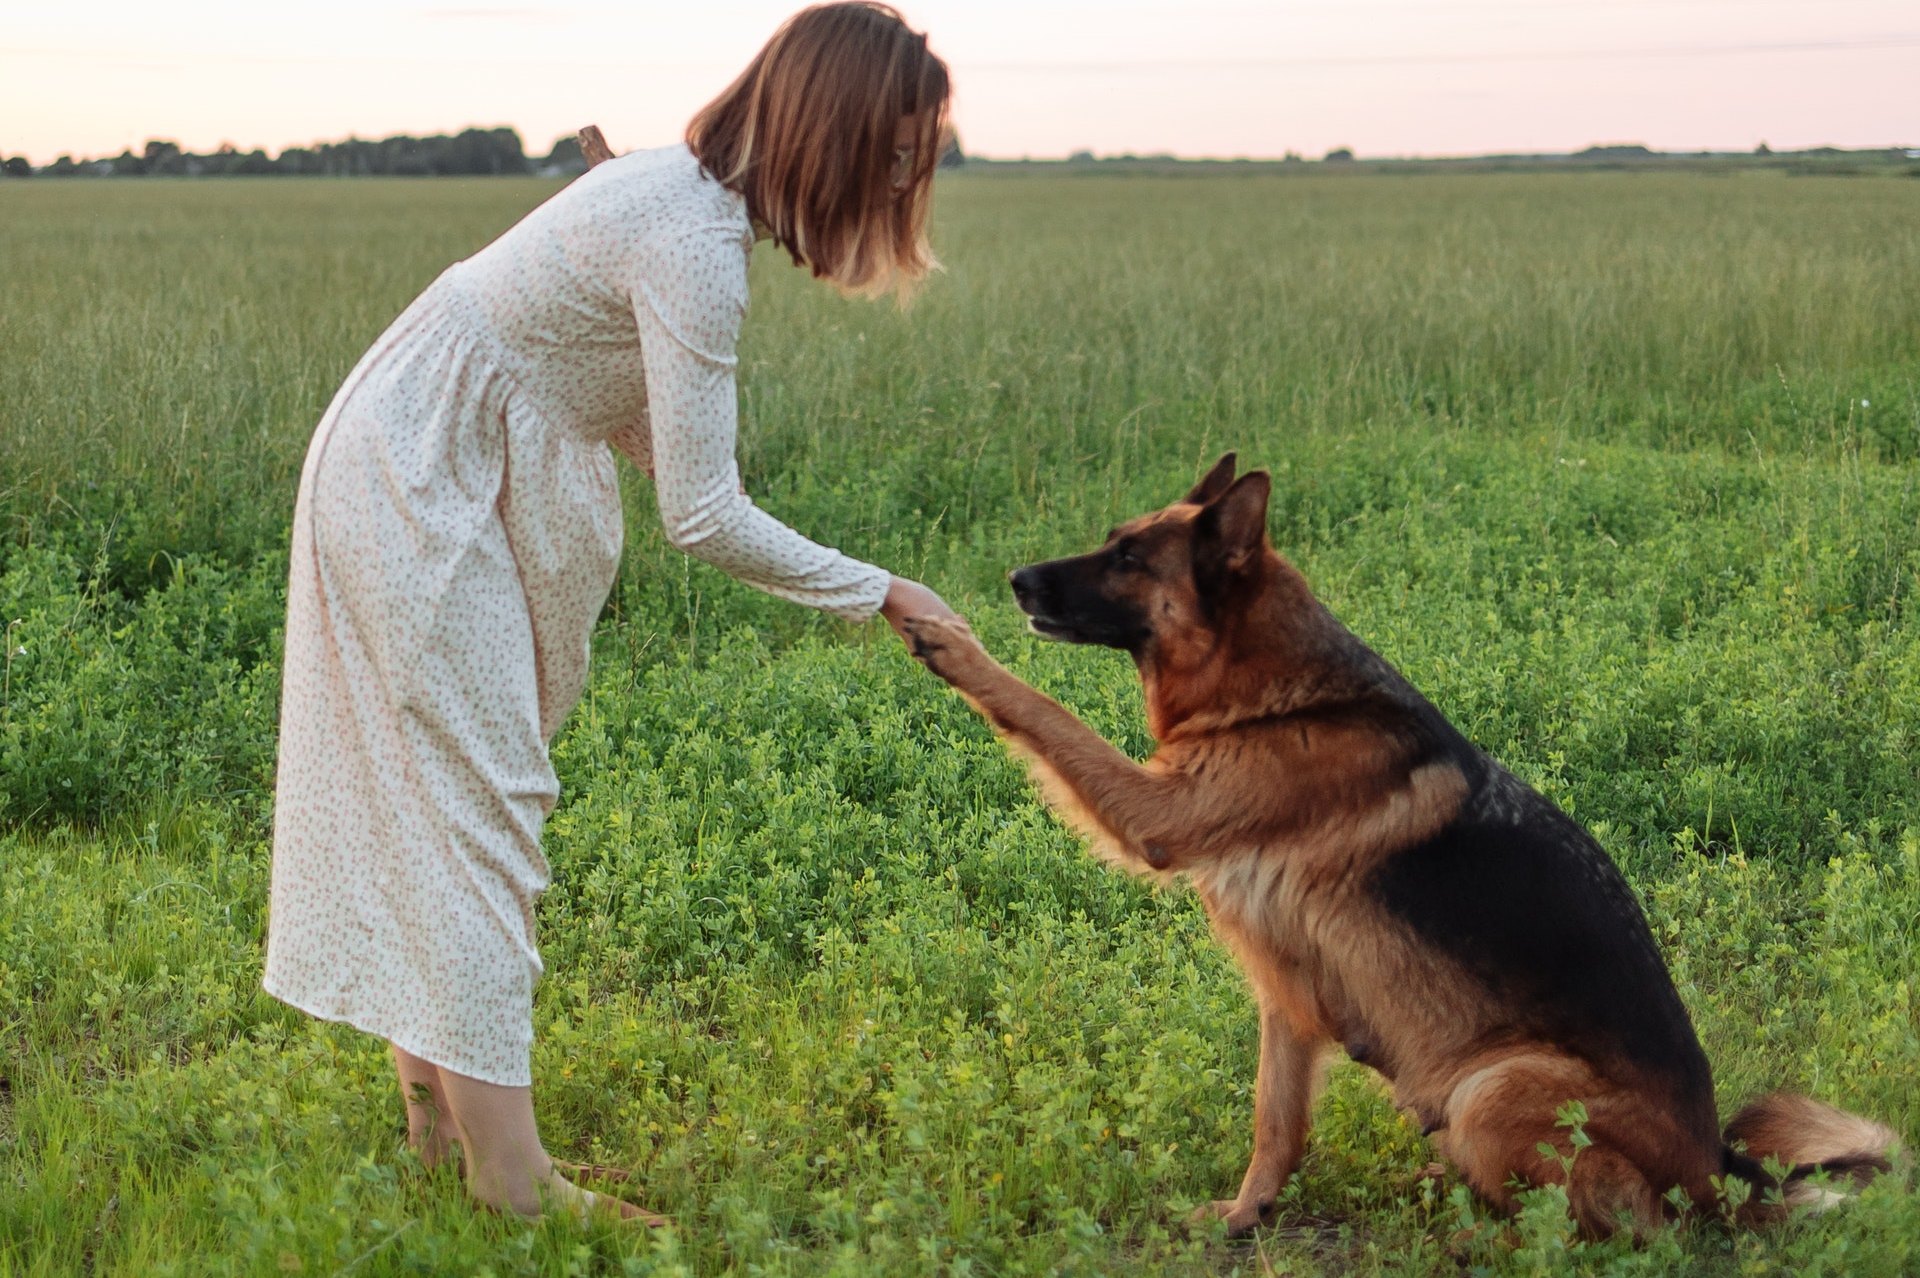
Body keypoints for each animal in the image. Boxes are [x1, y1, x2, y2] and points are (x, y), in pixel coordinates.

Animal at [902, 454, 1889, 1235]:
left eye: (1130, 559)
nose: (1016, 578)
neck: (1275, 696)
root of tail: (1720, 1177)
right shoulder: (1288, 999)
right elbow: (1274, 1123)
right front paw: (1246, 1214)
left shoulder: (1158, 813)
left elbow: (1041, 711)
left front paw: (948, 641)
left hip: (1494, 1088)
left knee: (1612, 1228)